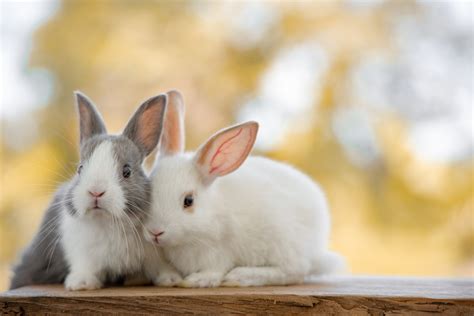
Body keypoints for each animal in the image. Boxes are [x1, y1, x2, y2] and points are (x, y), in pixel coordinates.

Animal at [10, 90, 180, 290]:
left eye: (127, 171)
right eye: (80, 168)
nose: (96, 192)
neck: (108, 222)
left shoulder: (153, 252)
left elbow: (159, 267)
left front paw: (171, 279)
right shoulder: (80, 251)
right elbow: (85, 266)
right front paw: (81, 284)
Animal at [144, 108, 344, 286]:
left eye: (188, 201)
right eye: (148, 190)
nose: (155, 232)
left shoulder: (218, 253)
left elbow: (214, 271)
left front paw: (196, 281)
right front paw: (169, 280)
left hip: (284, 244)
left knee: (294, 271)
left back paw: (240, 276)